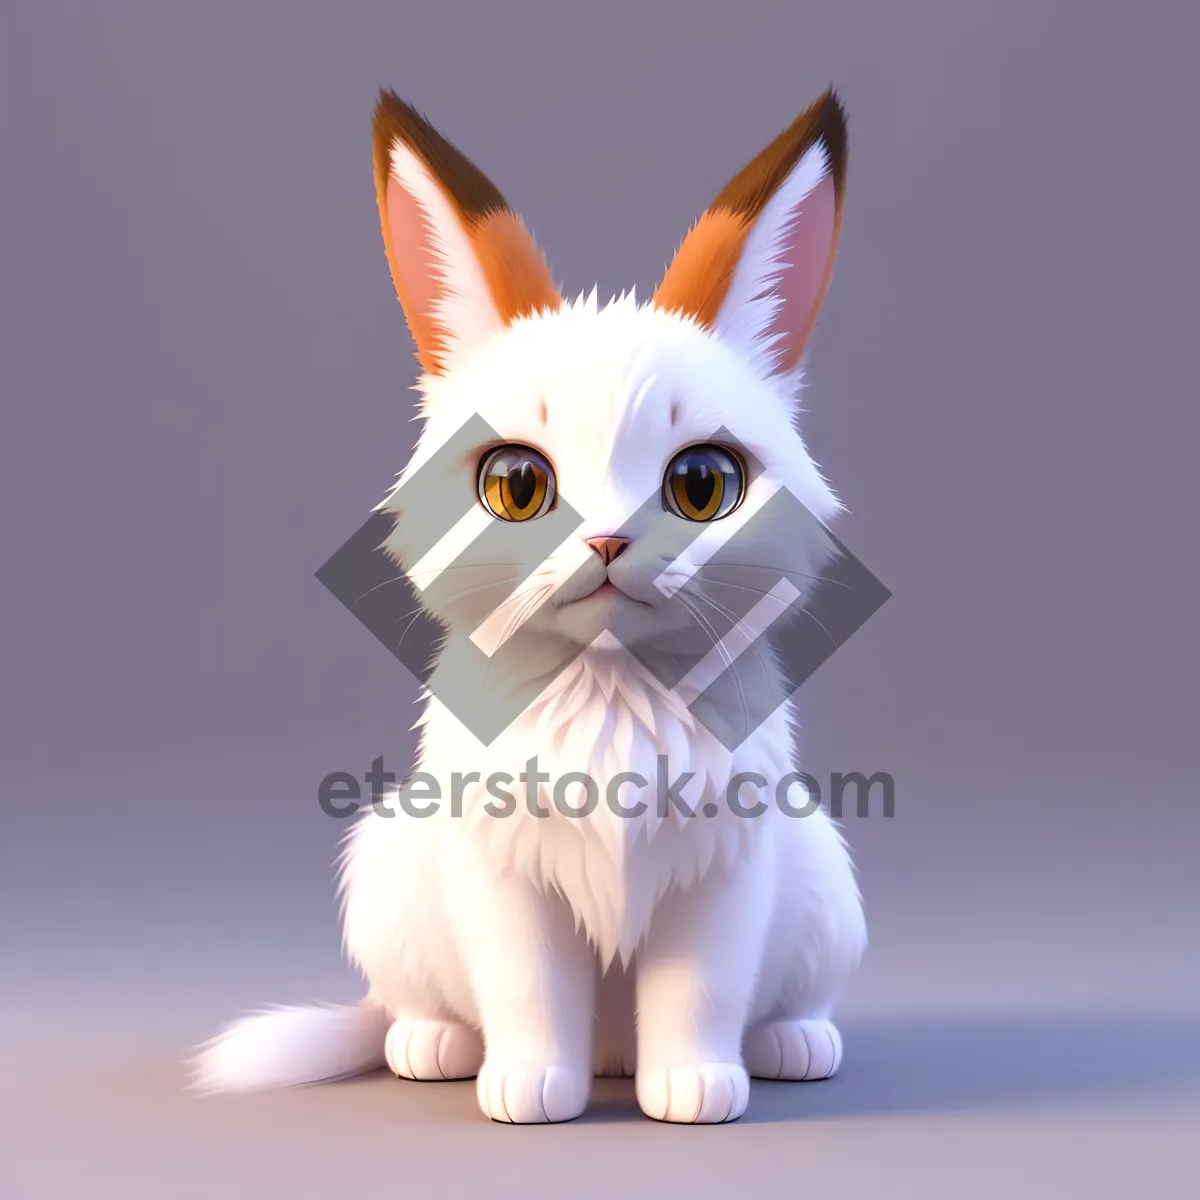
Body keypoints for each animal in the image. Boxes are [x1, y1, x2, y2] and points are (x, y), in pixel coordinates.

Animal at [199, 87, 873, 1123]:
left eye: (703, 486)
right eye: (517, 486)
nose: (607, 543)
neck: (609, 697)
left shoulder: (722, 864)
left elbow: (699, 987)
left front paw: (696, 1088)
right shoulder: (500, 868)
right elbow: (527, 986)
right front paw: (528, 1088)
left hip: (822, 867)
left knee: (778, 1001)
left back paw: (786, 1045)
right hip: (387, 856)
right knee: (418, 1003)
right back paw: (435, 1047)